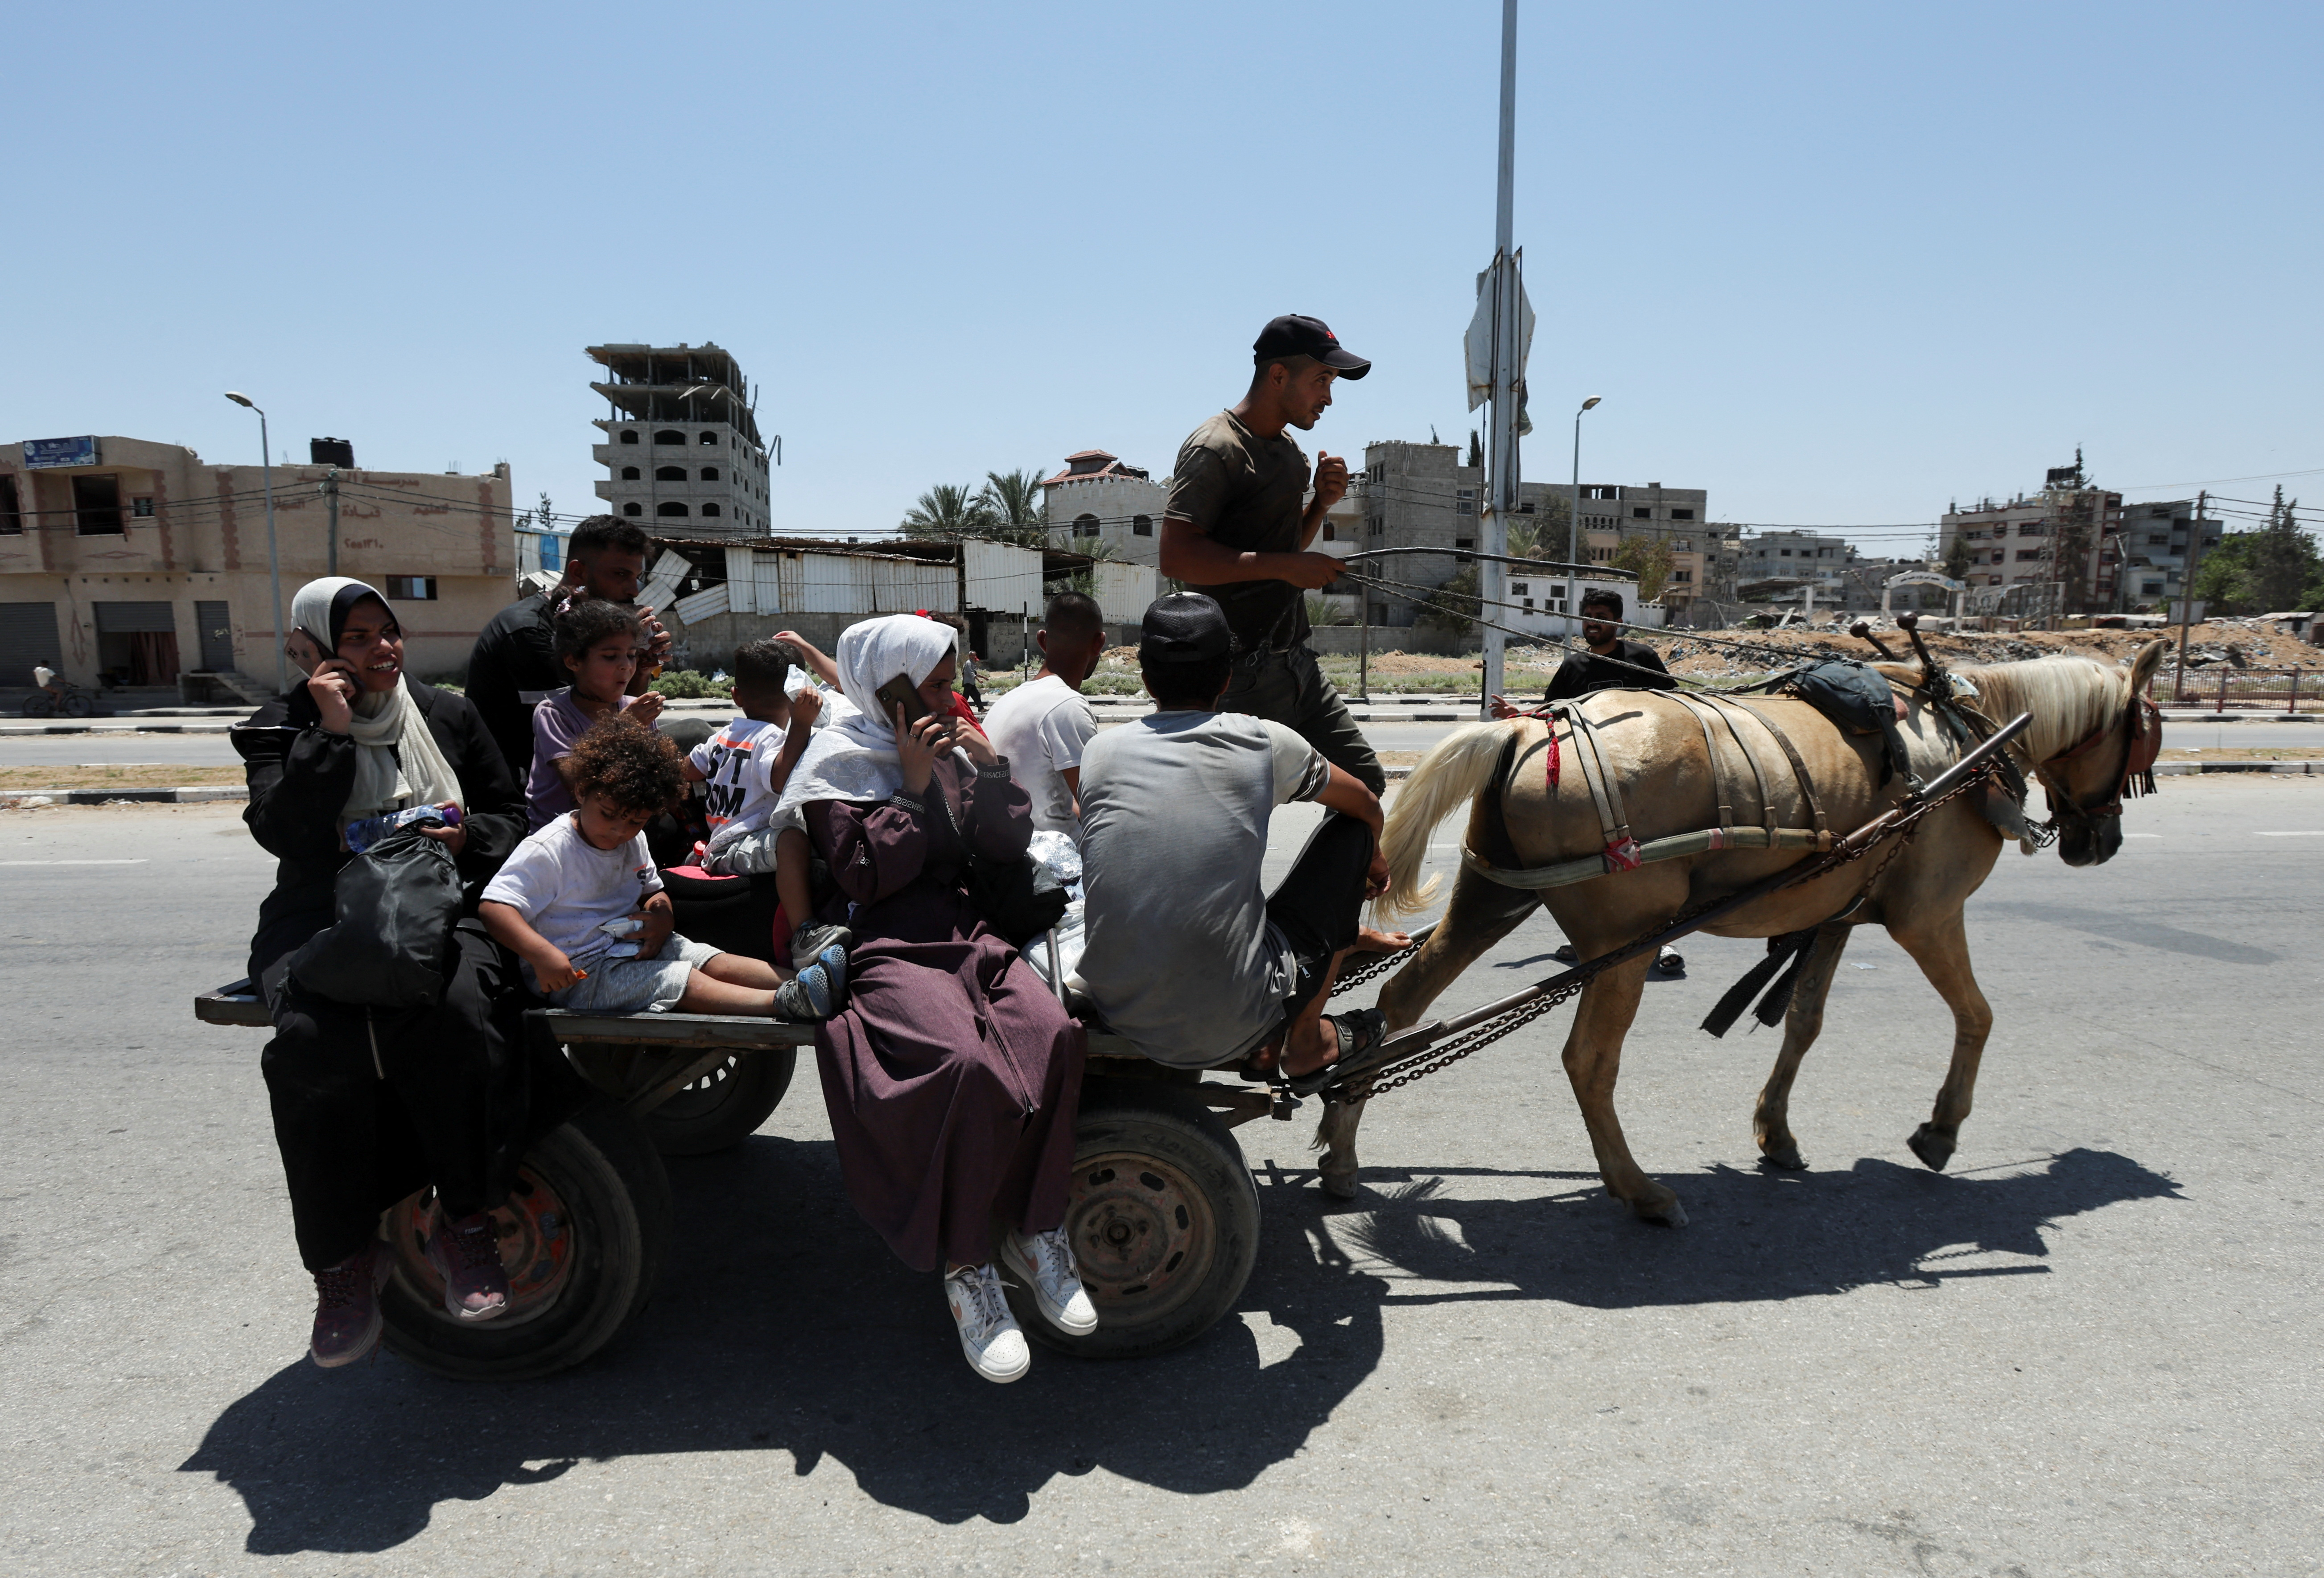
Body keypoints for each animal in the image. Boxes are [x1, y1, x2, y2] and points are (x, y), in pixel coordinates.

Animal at [1320, 637, 2166, 1227]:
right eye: (2143, 740)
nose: (2101, 843)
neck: (1966, 743)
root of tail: (1533, 730)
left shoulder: (1835, 915)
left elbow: (1804, 1021)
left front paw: (1776, 1131)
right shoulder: (1928, 915)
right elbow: (1977, 1014)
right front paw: (1940, 1127)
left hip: (1491, 898)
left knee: (1396, 1006)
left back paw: (1342, 1146)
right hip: (1622, 942)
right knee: (1587, 1061)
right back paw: (1639, 1190)